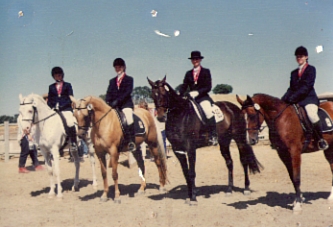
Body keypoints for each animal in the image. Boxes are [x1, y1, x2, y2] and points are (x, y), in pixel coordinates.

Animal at [147, 76, 260, 206]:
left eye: (164, 94)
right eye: (153, 95)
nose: (161, 117)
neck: (180, 115)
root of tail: (234, 108)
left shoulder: (190, 148)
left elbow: (192, 173)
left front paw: (193, 199)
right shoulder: (178, 150)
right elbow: (186, 173)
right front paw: (189, 196)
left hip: (239, 139)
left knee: (244, 160)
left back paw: (246, 189)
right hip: (224, 141)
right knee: (229, 162)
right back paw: (229, 190)